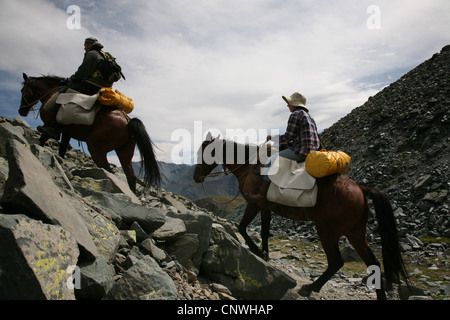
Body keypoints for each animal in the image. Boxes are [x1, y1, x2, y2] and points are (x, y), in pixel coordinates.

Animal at [19, 73, 161, 191]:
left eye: (22, 90)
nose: (22, 111)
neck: (51, 94)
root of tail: (128, 120)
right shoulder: (67, 132)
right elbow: (62, 150)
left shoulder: (48, 125)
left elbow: (43, 138)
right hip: (124, 152)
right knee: (130, 176)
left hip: (96, 149)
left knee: (109, 171)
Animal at [194, 136, 412, 298]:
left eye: (204, 153)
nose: (196, 177)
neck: (249, 166)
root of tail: (361, 189)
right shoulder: (266, 207)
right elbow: (264, 231)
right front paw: (264, 253)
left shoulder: (254, 204)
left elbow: (242, 227)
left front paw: (256, 250)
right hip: (355, 233)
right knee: (374, 264)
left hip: (327, 231)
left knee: (336, 262)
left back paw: (309, 288)